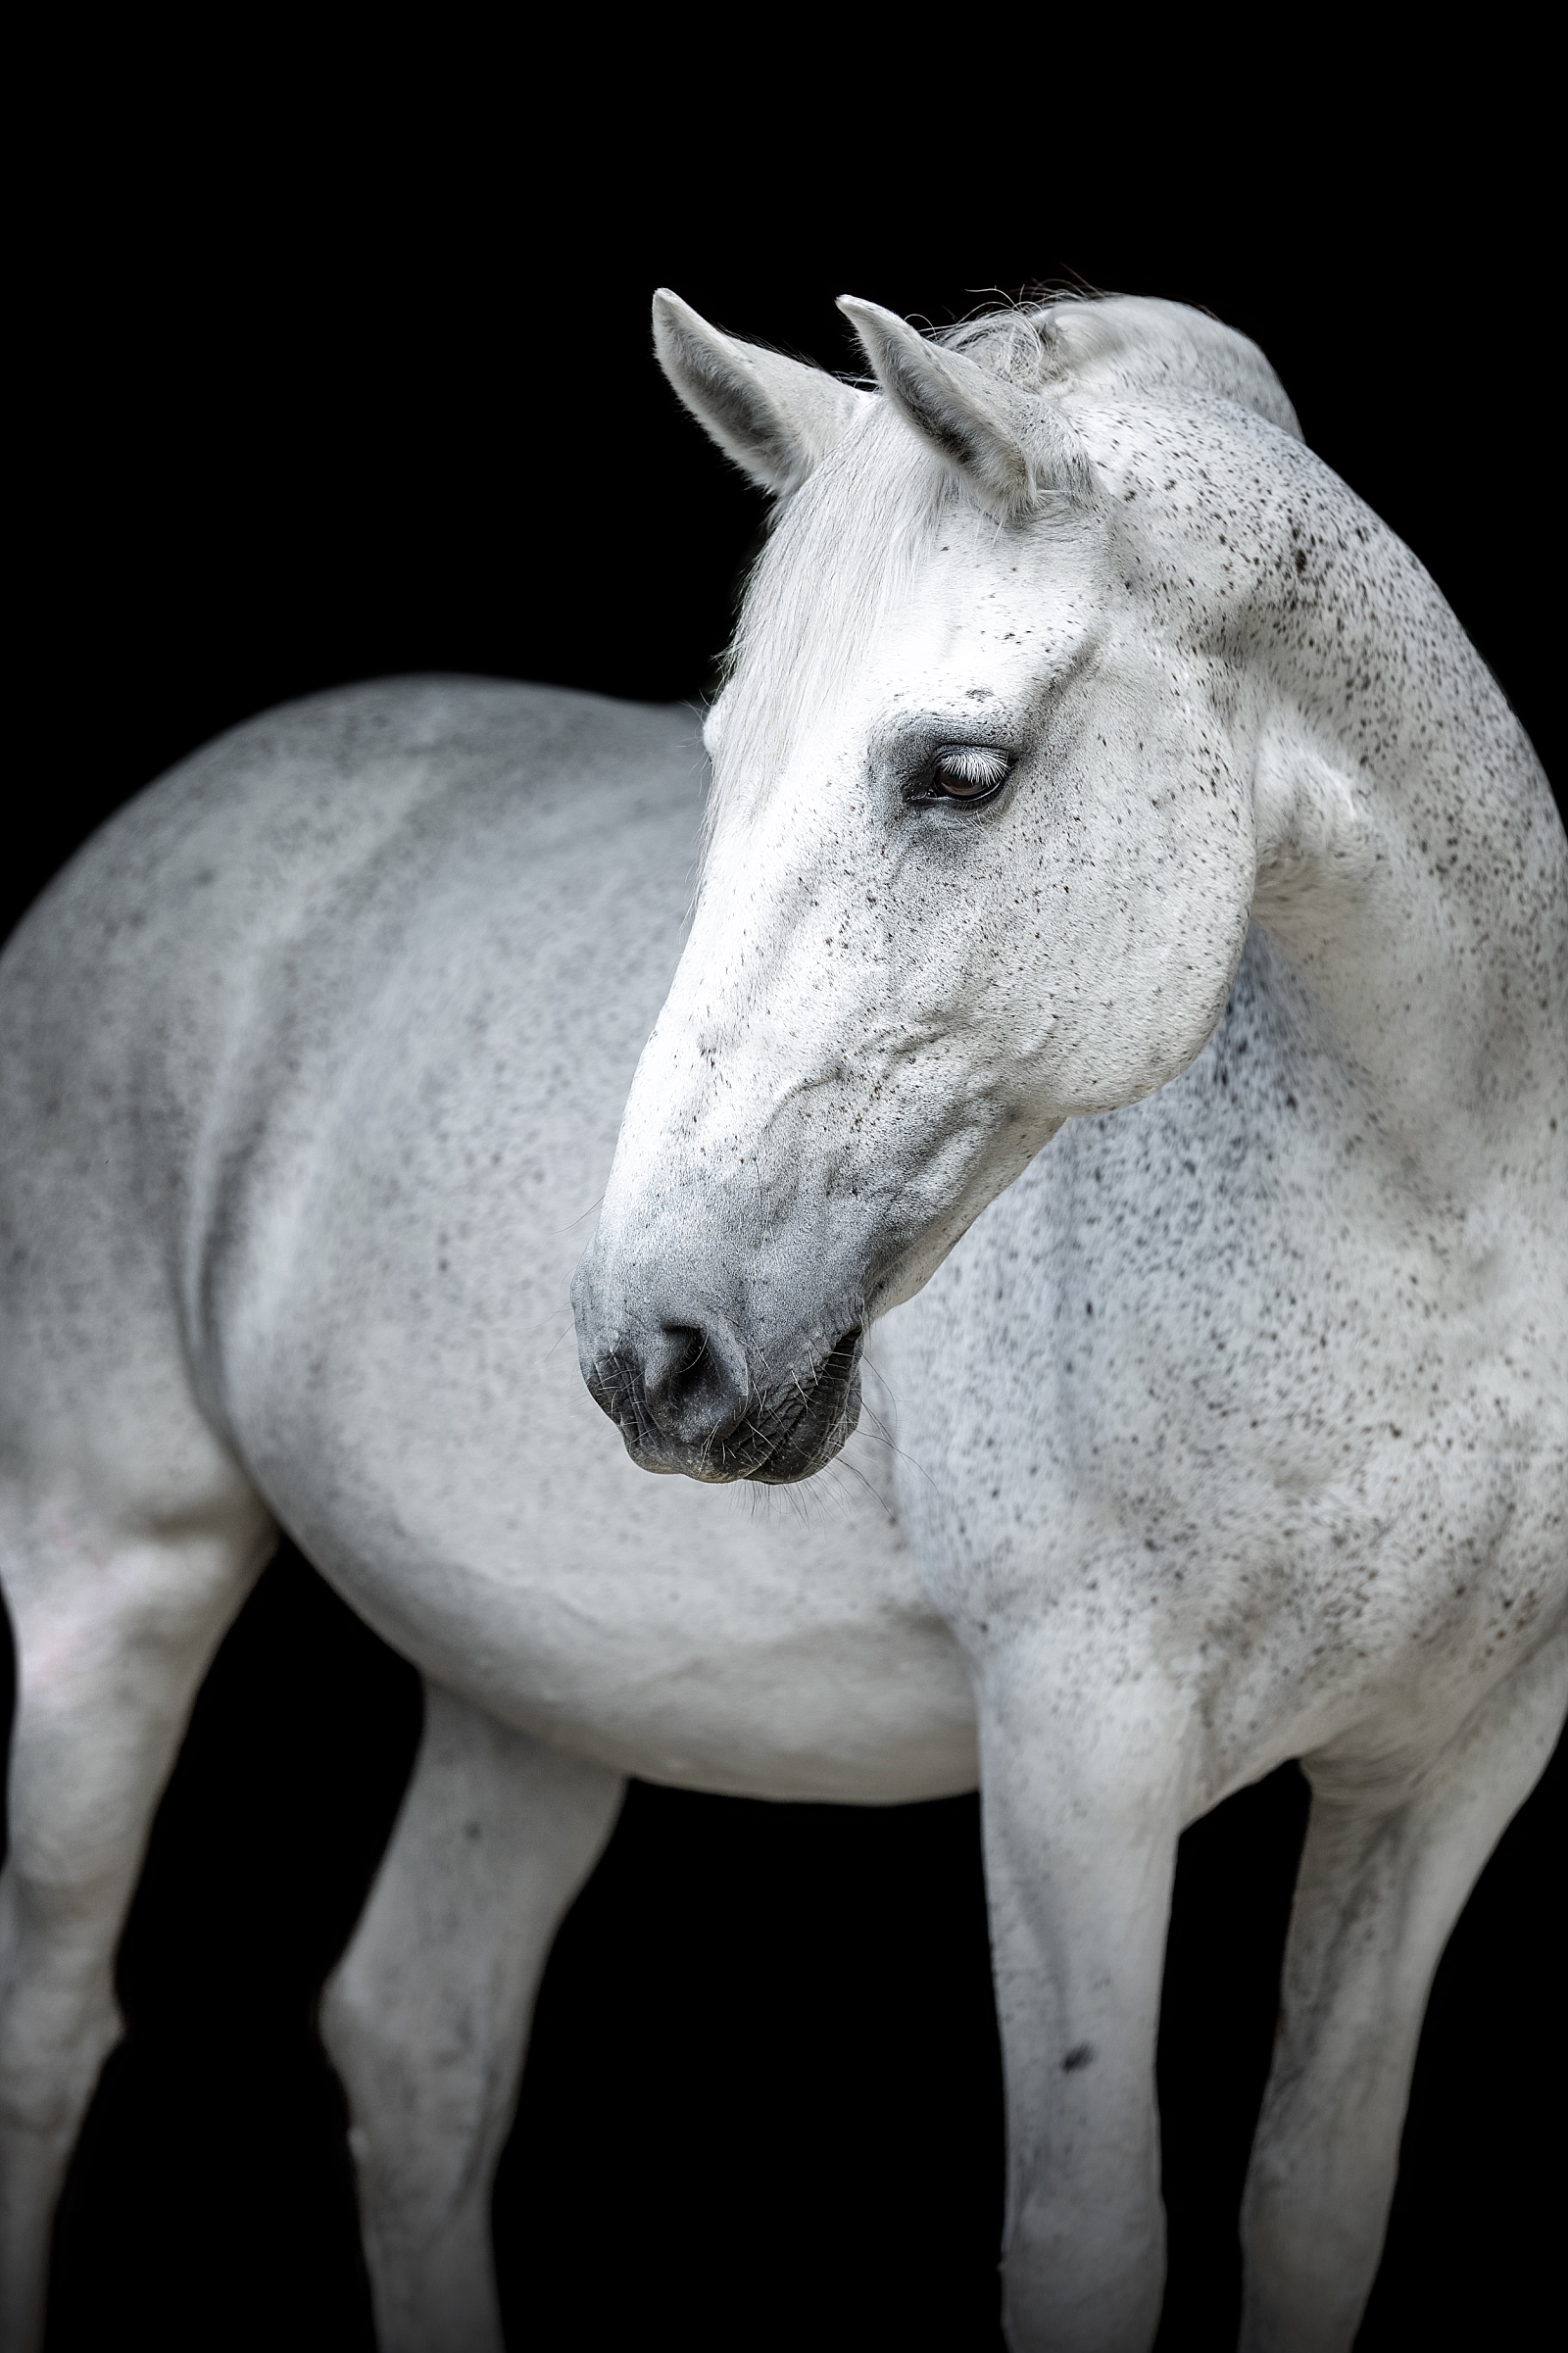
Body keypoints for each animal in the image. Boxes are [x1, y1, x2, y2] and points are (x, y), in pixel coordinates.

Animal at [0, 294, 1553, 2353]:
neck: (1445, 1209)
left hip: (524, 1684)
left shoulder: (1448, 1768)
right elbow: (1093, 2237)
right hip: (110, 1573)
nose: (653, 1348)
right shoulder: (1078, 1756)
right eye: (728, 753)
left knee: (419, 2040)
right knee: (49, 2030)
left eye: (958, 771)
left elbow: (1314, 2207)